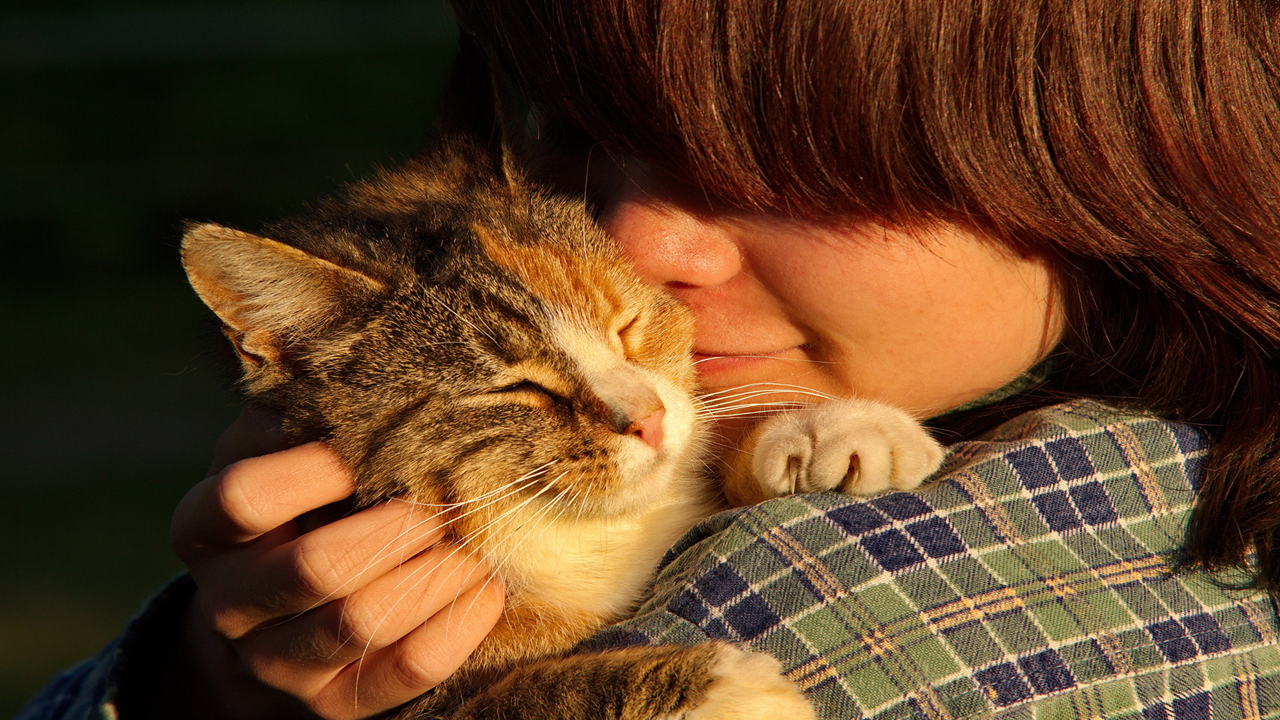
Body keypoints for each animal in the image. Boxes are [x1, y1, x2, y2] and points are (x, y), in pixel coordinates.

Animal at [177, 37, 942, 717]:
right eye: (518, 388)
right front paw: (722, 689)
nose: (649, 420)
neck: (565, 537)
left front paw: (827, 430)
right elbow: (522, 695)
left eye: (625, 323)